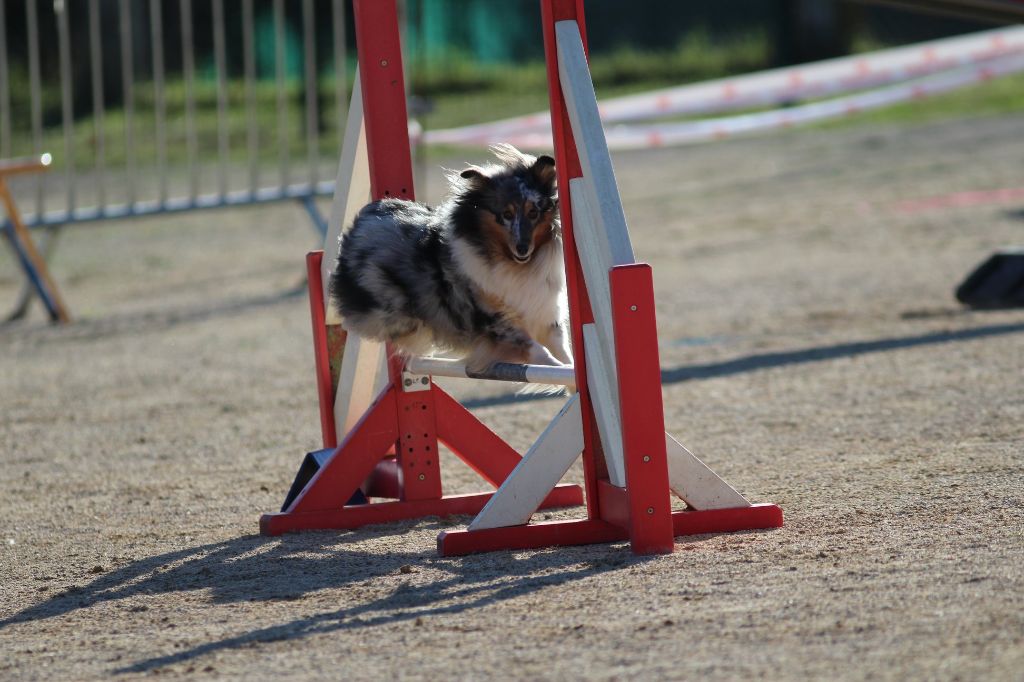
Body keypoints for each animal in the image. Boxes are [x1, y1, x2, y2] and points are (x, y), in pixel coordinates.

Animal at [327, 144, 573, 376]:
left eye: (534, 213)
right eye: (506, 214)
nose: (523, 248)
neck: (513, 265)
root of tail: (366, 214)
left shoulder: (546, 313)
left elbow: (564, 350)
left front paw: (570, 373)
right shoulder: (497, 322)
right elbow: (539, 351)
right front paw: (559, 368)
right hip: (391, 311)